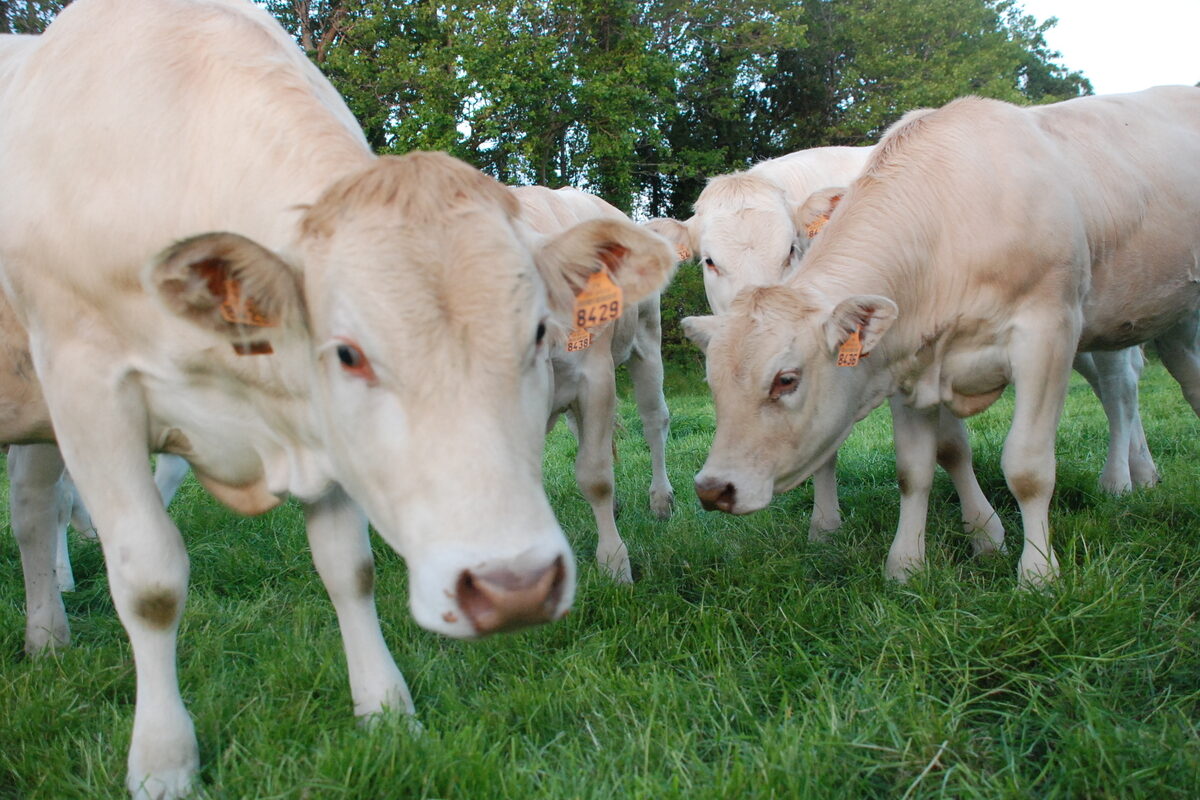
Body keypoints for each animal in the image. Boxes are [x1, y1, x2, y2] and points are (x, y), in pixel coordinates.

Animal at [508, 188, 681, 585]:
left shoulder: (596, 377)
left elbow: (596, 474)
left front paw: (614, 563)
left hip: (647, 339)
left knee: (655, 420)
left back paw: (661, 500)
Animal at [686, 87, 1200, 585]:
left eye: (786, 379)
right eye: (709, 260)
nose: (712, 489)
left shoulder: (1047, 331)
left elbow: (1022, 465)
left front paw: (1027, 566)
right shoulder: (908, 359)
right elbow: (914, 468)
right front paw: (900, 562)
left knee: (1121, 390)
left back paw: (1120, 480)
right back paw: (1144, 473)